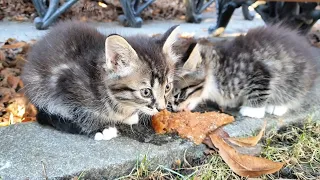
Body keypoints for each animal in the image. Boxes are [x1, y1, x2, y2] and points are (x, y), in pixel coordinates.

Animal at [21, 21, 181, 141]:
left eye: (167, 87)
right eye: (146, 92)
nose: (161, 108)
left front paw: (128, 116)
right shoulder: (65, 83)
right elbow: (78, 111)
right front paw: (100, 128)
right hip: (37, 87)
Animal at [170, 24, 318, 119]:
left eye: (177, 95)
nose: (175, 110)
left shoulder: (256, 70)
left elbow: (258, 89)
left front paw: (253, 110)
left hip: (295, 78)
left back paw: (278, 106)